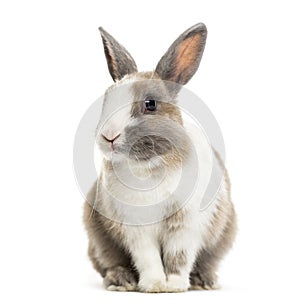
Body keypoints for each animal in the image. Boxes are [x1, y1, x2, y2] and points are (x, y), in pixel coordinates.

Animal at [82, 22, 237, 294]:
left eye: (150, 104)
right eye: (106, 99)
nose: (108, 136)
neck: (147, 166)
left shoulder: (185, 225)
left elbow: (179, 257)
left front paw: (173, 286)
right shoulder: (136, 229)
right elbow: (148, 257)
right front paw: (154, 285)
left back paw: (205, 281)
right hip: (98, 239)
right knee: (109, 262)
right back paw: (121, 280)